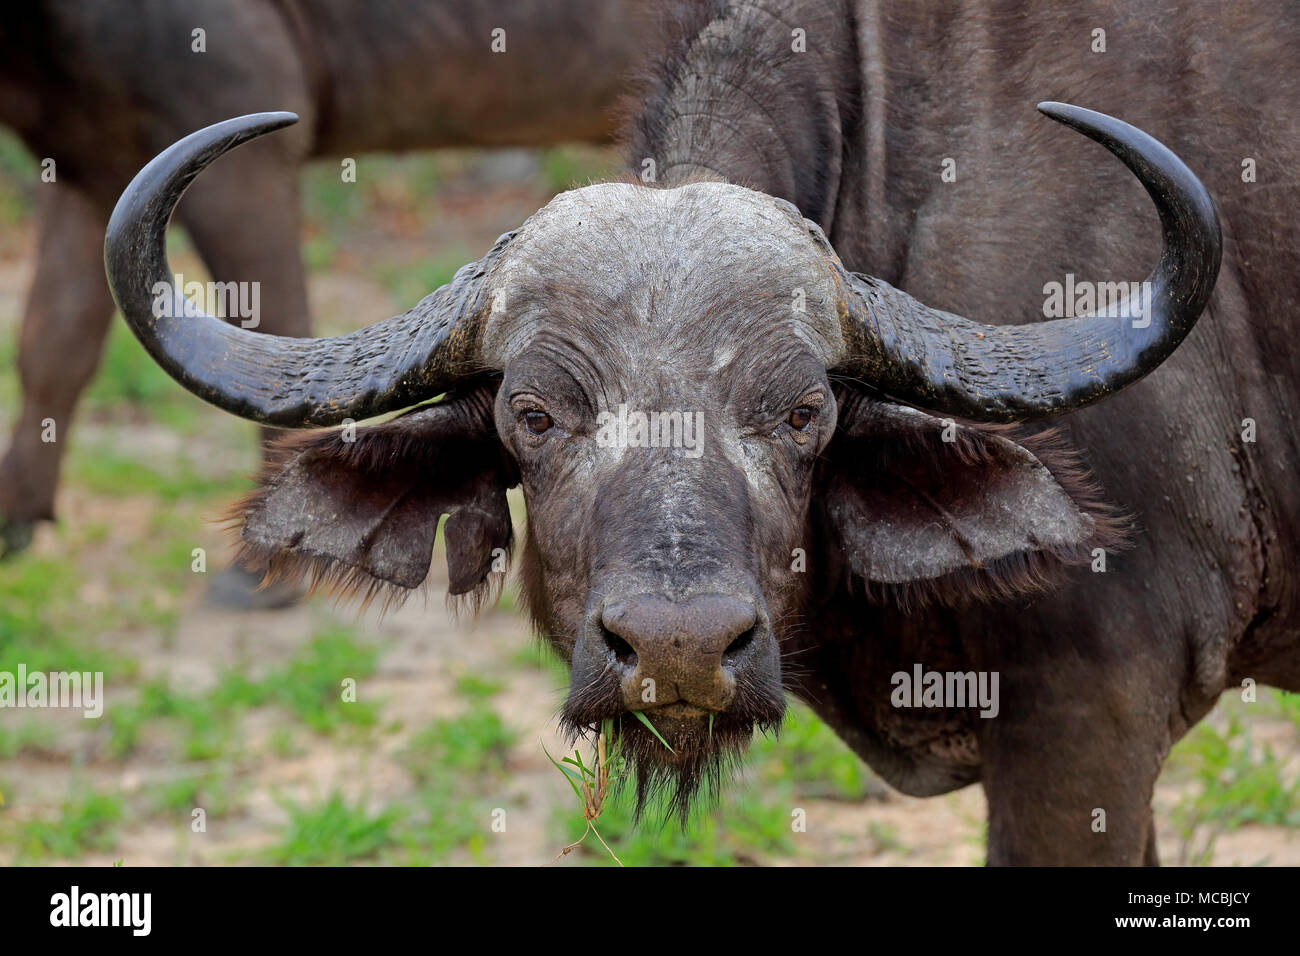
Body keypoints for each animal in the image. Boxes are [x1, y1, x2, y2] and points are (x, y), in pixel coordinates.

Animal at [0, 0, 647, 587]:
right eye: (535, 417)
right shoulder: (89, 171)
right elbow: (51, 345)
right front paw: (18, 520)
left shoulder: (241, 150)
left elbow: (271, 314)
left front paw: (258, 578)